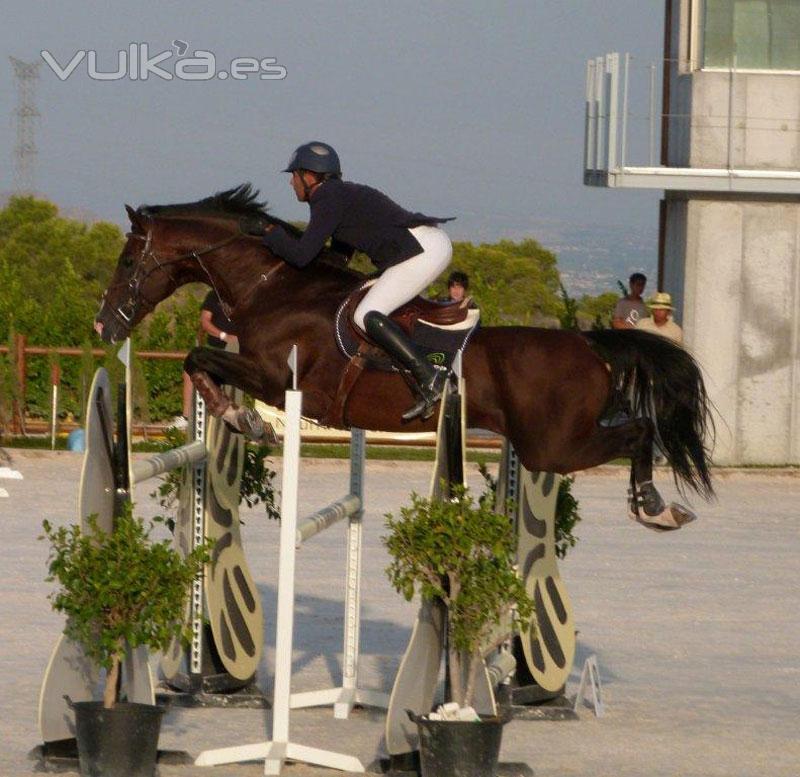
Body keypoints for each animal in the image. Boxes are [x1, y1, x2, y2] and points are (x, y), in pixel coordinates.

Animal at [94, 186, 712, 528]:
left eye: (126, 260)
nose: (104, 323)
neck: (274, 286)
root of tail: (588, 341)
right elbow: (198, 360)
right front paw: (239, 417)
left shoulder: (276, 379)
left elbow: (198, 357)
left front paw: (240, 417)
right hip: (549, 443)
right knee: (637, 432)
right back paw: (659, 506)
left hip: (551, 446)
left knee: (637, 432)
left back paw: (656, 506)